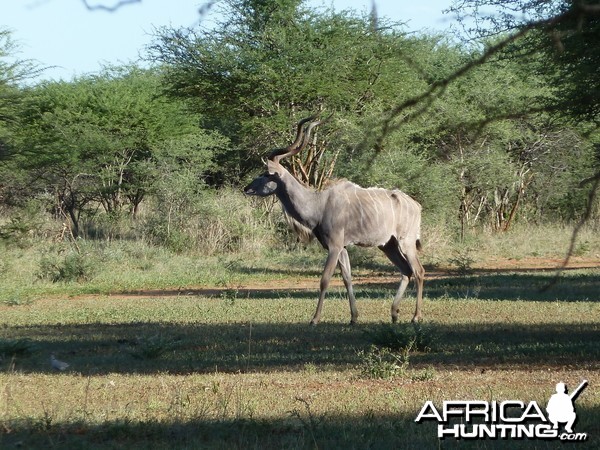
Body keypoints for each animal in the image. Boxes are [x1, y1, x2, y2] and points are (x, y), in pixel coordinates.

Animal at [241, 116, 424, 326]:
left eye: (265, 174)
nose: (246, 188)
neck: (318, 204)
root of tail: (416, 205)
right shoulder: (342, 248)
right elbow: (347, 278)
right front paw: (353, 318)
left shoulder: (334, 246)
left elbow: (325, 280)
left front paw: (314, 319)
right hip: (388, 245)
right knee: (406, 271)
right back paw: (394, 313)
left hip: (406, 242)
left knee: (418, 271)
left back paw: (416, 316)